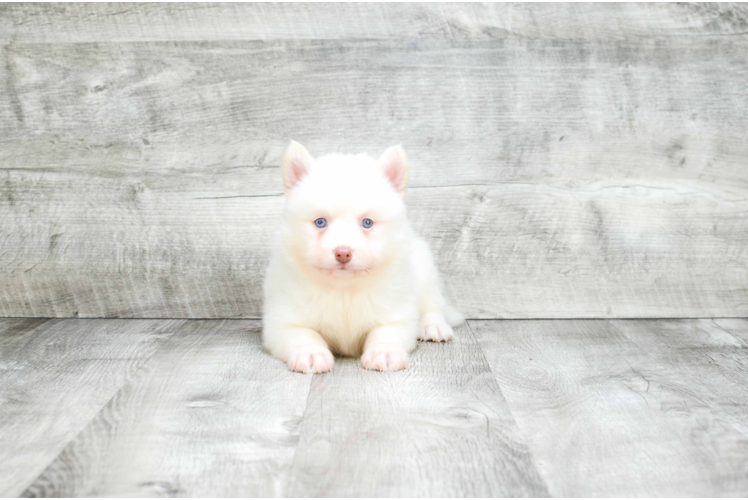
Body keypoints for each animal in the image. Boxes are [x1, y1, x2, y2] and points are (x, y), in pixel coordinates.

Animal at [262, 141, 462, 372]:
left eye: (367, 223)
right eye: (320, 222)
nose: (343, 252)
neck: (344, 290)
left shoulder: (397, 314)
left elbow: (385, 332)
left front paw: (384, 351)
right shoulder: (282, 321)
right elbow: (302, 334)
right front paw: (310, 353)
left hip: (424, 267)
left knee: (433, 304)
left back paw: (433, 326)